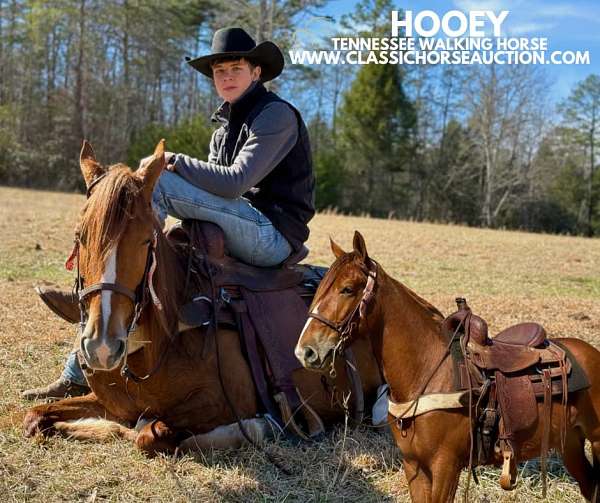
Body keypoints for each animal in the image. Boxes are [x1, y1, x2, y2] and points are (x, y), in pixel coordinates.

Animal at [24, 141, 380, 452]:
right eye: (79, 236)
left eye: (146, 240)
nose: (102, 347)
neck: (155, 343)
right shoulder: (108, 402)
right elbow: (36, 416)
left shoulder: (221, 402)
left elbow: (147, 434)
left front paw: (258, 427)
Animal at [296, 232, 600, 503]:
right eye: (320, 288)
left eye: (347, 289)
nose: (305, 351)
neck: (427, 370)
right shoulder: (414, 465)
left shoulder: (446, 466)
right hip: (569, 444)